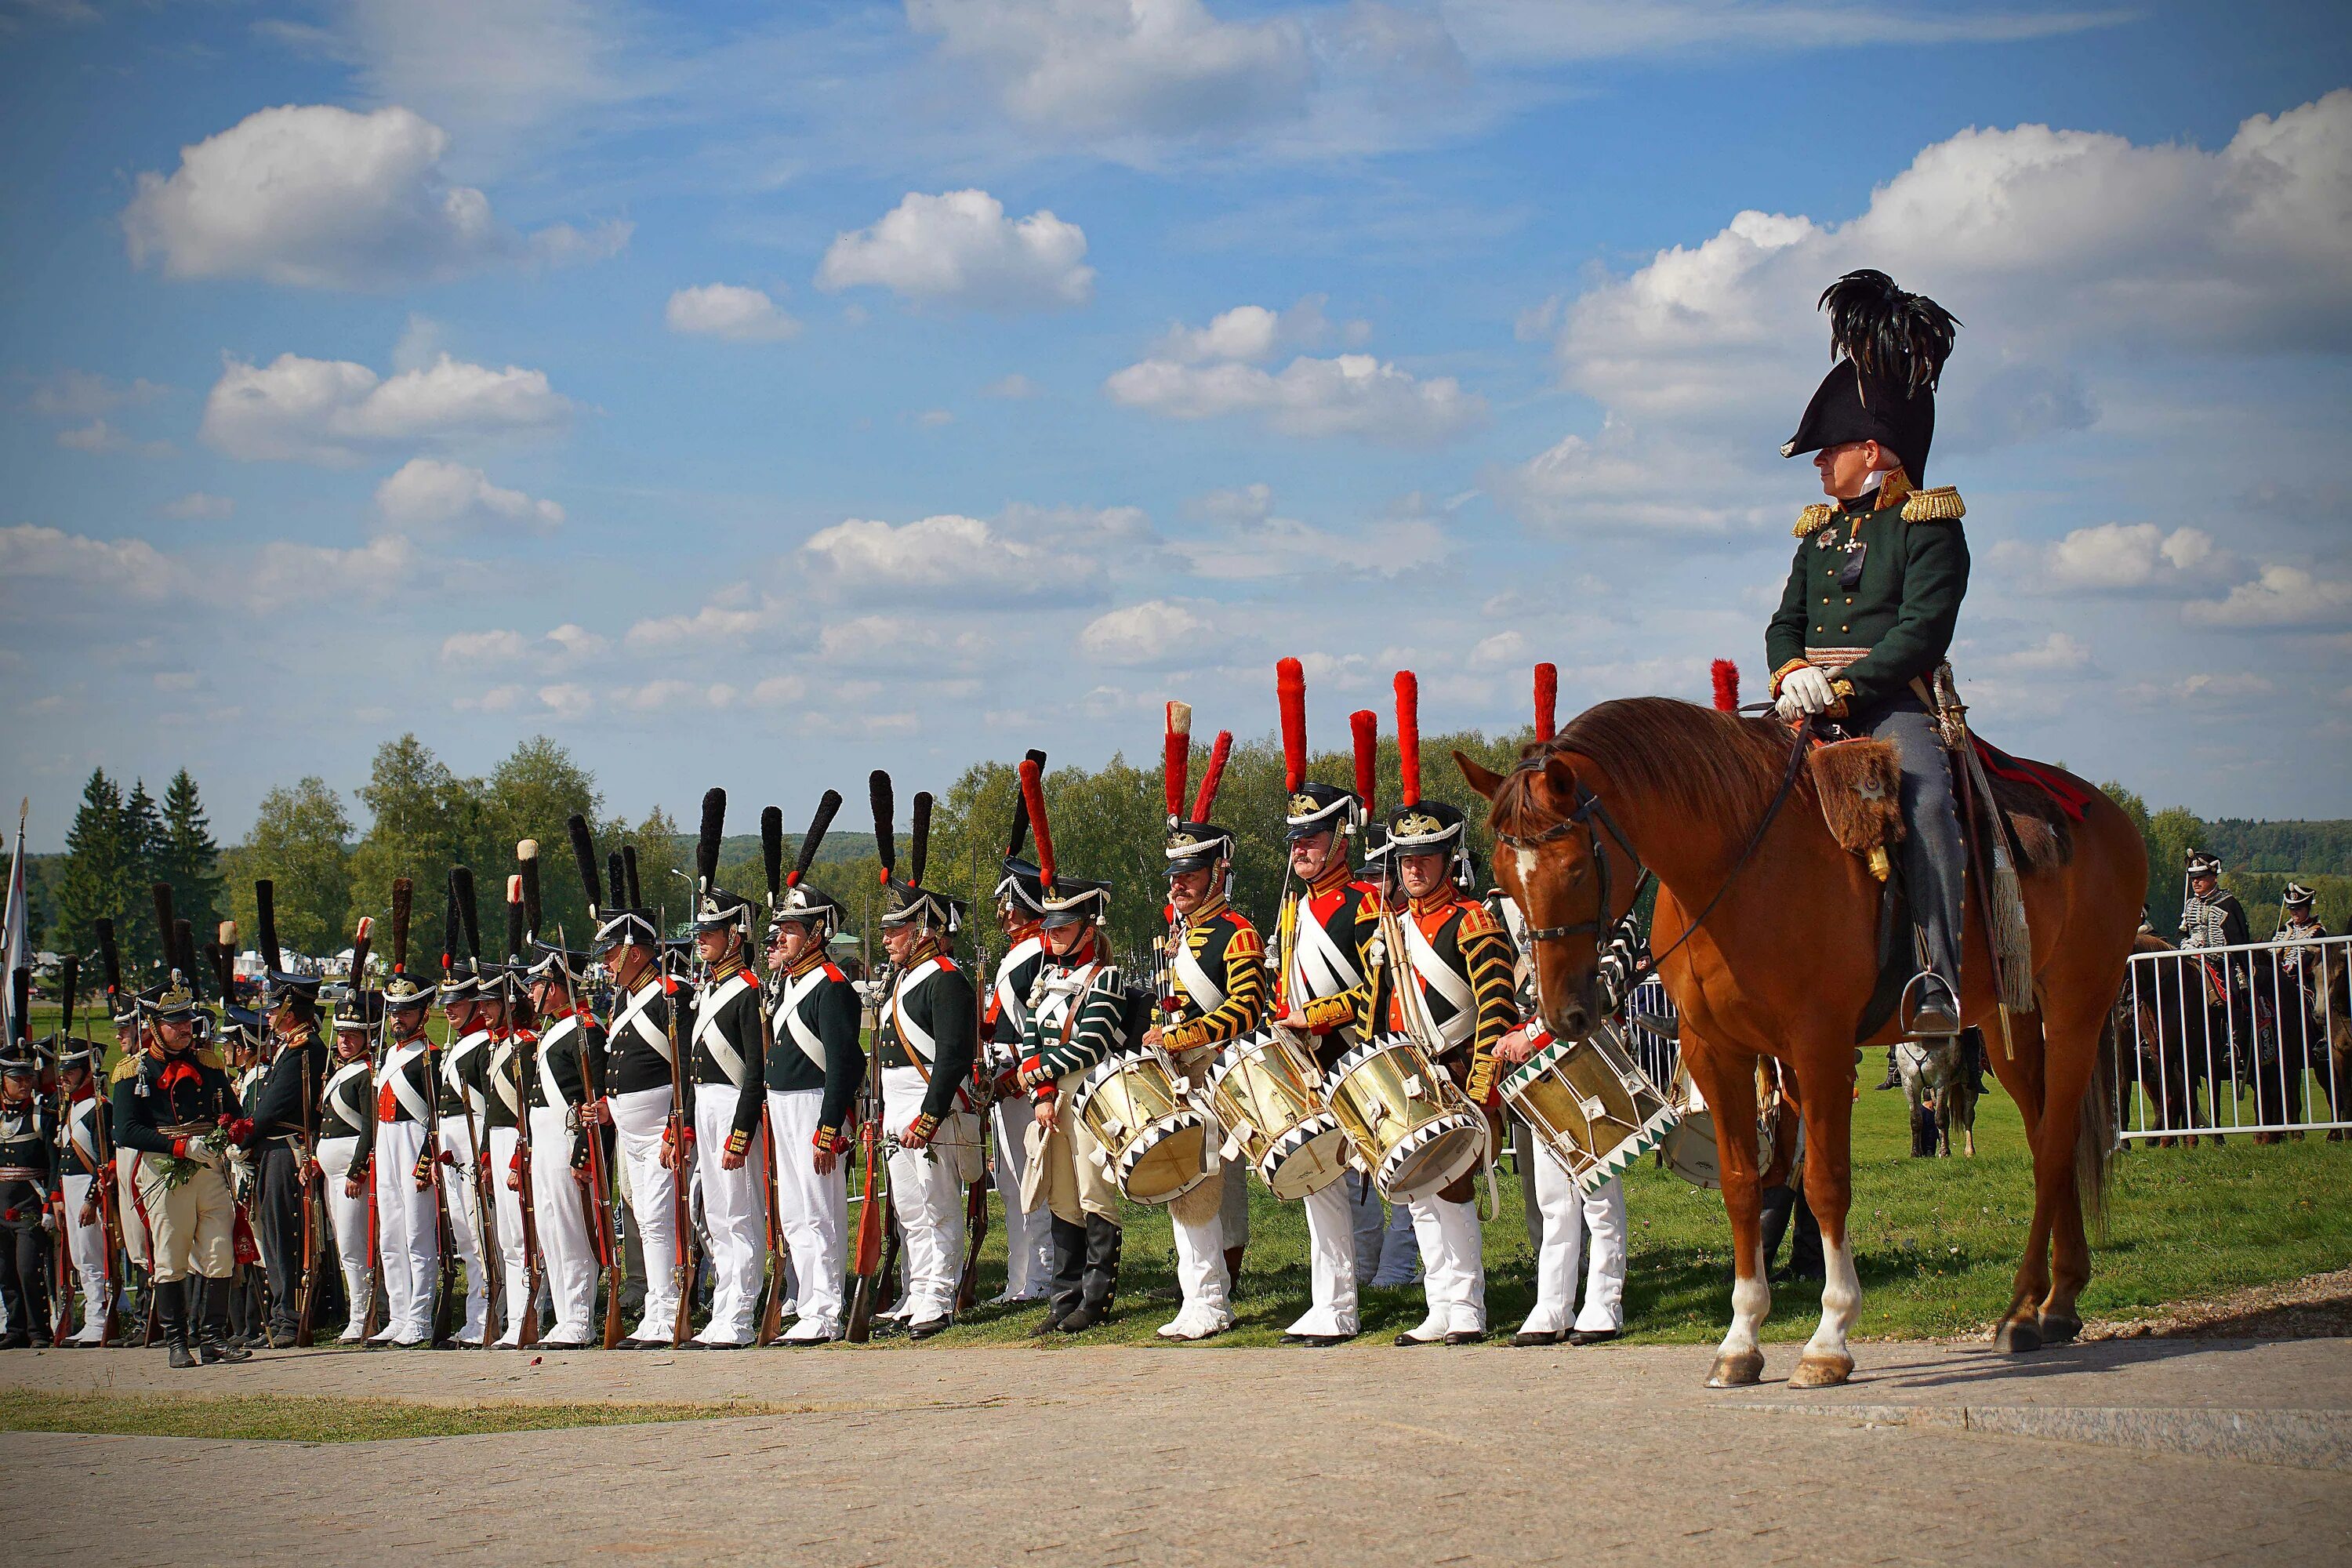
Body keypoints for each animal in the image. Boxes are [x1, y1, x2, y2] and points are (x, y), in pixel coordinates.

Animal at [1468, 700, 2154, 1382]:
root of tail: (2107, 814)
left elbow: (1825, 1184)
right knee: (2045, 1136)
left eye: (1575, 867)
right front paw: (1741, 1340)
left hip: (2076, 1007)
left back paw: (2024, 1308)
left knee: (2057, 1142)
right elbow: (1744, 1183)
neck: (1738, 864)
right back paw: (2057, 1301)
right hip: (2010, 1023)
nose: (1562, 1013)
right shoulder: (1717, 1052)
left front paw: (1830, 1338)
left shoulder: (1821, 1047)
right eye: (1503, 877)